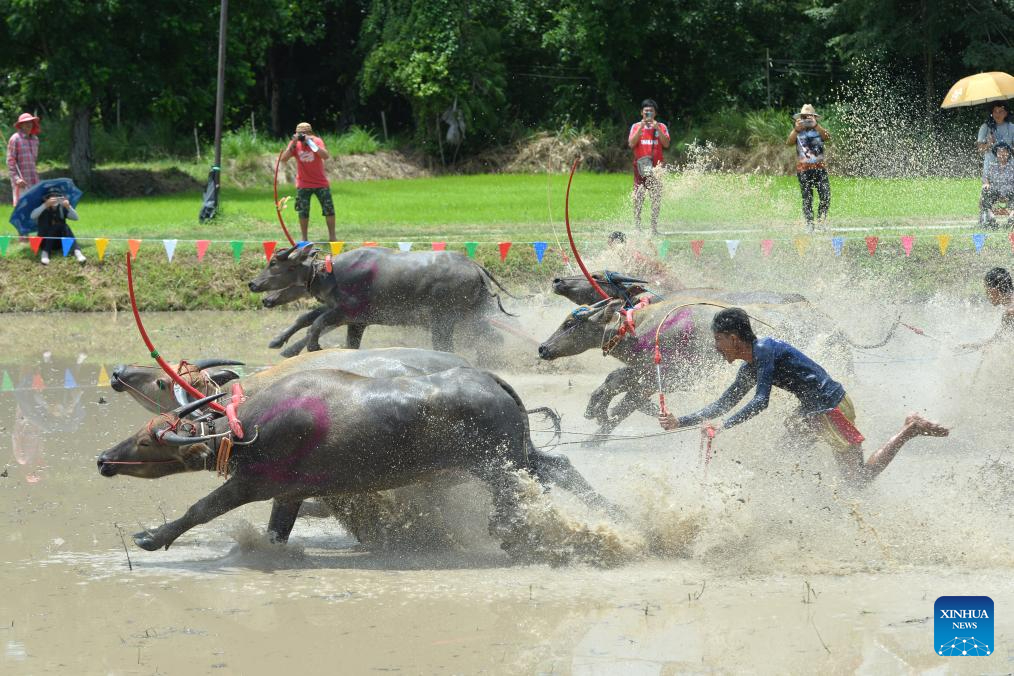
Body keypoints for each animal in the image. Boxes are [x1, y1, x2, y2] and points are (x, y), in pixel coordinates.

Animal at [96, 366, 616, 559]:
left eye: (147, 442)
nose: (103, 459)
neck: (245, 428)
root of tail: (494, 381)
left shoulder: (252, 484)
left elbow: (200, 510)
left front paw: (150, 538)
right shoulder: (289, 495)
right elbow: (277, 532)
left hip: (497, 464)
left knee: (521, 498)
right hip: (519, 455)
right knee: (560, 468)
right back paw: (619, 516)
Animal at [246, 244, 515, 358]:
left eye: (273, 263)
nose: (253, 285)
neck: (330, 273)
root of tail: (476, 267)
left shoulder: (347, 312)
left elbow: (317, 322)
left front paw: (313, 346)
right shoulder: (355, 320)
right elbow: (307, 318)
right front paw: (278, 341)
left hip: (444, 321)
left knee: (446, 346)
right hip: (473, 318)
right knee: (495, 339)